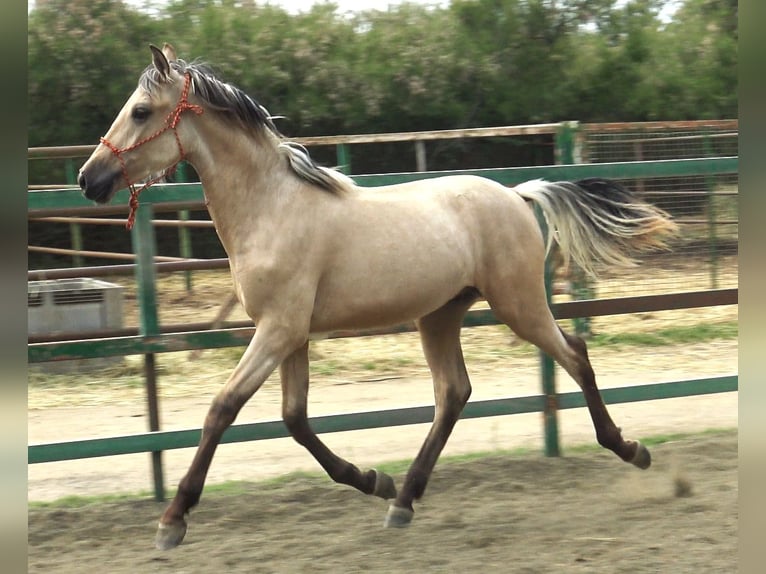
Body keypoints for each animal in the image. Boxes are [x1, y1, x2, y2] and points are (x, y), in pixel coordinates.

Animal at [78, 42, 680, 552]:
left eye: (140, 111)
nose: (90, 178)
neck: (273, 207)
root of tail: (515, 192)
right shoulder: (291, 334)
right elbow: (295, 419)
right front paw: (372, 480)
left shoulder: (277, 330)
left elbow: (223, 409)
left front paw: (172, 520)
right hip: (440, 315)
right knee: (453, 393)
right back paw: (403, 499)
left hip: (520, 305)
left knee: (575, 355)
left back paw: (632, 450)